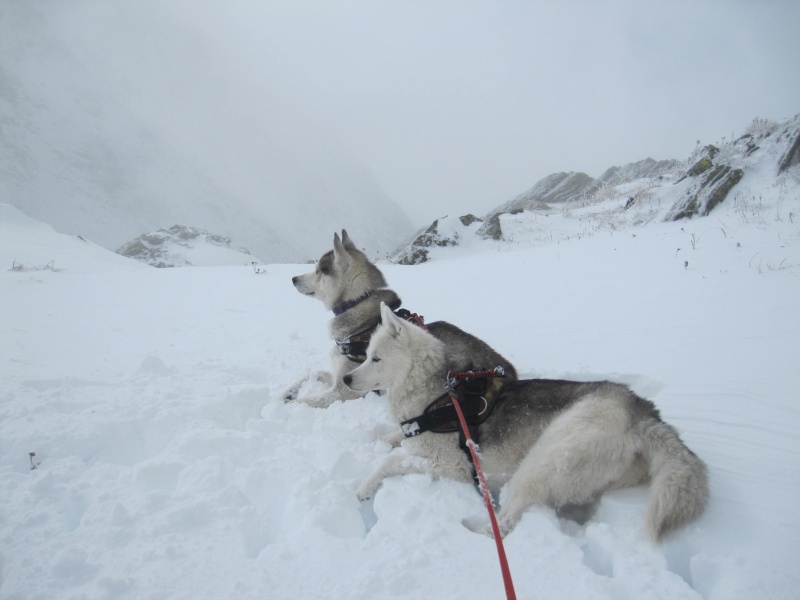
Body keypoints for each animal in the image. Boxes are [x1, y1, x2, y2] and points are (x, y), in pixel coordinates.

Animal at [288, 230, 520, 408]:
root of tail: (508, 372)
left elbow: (308, 401)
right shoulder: (339, 373)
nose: (293, 278)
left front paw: (290, 403)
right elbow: (313, 373)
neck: (358, 305)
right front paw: (287, 392)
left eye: (318, 271)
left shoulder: (344, 390)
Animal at [344, 302, 708, 540]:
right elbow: (394, 439)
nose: (346, 379)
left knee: (506, 523)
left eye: (376, 358)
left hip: (545, 457)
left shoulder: (454, 465)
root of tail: (642, 410)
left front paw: (362, 489)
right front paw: (381, 438)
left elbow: (388, 462)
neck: (435, 392)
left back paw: (473, 530)